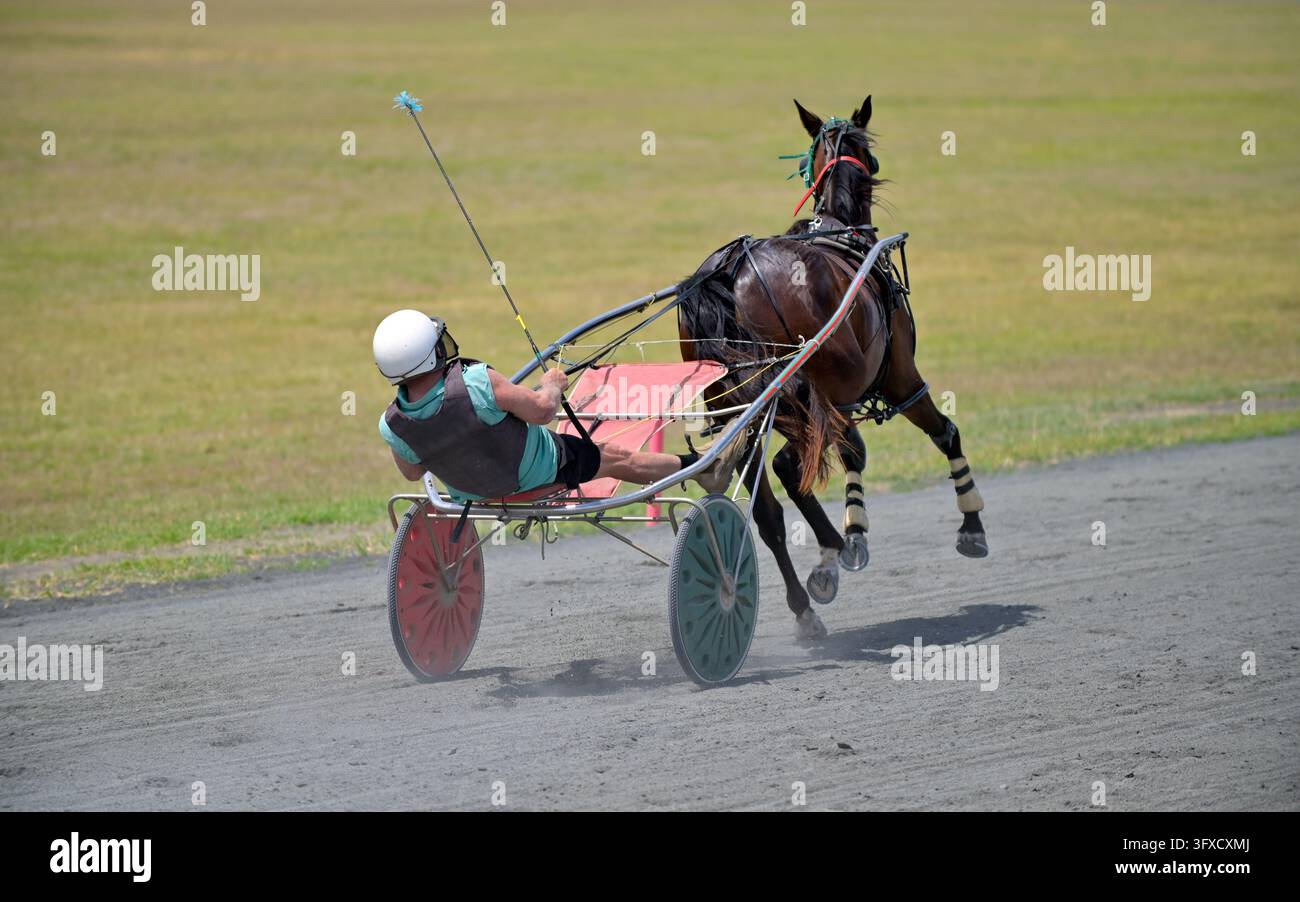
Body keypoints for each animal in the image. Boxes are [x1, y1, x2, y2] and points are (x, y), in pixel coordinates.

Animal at [677, 94, 988, 640]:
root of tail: (732, 271)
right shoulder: (898, 377)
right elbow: (942, 432)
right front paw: (969, 525)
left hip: (743, 406)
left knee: (768, 510)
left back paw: (805, 607)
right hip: (811, 390)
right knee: (799, 462)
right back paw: (838, 548)